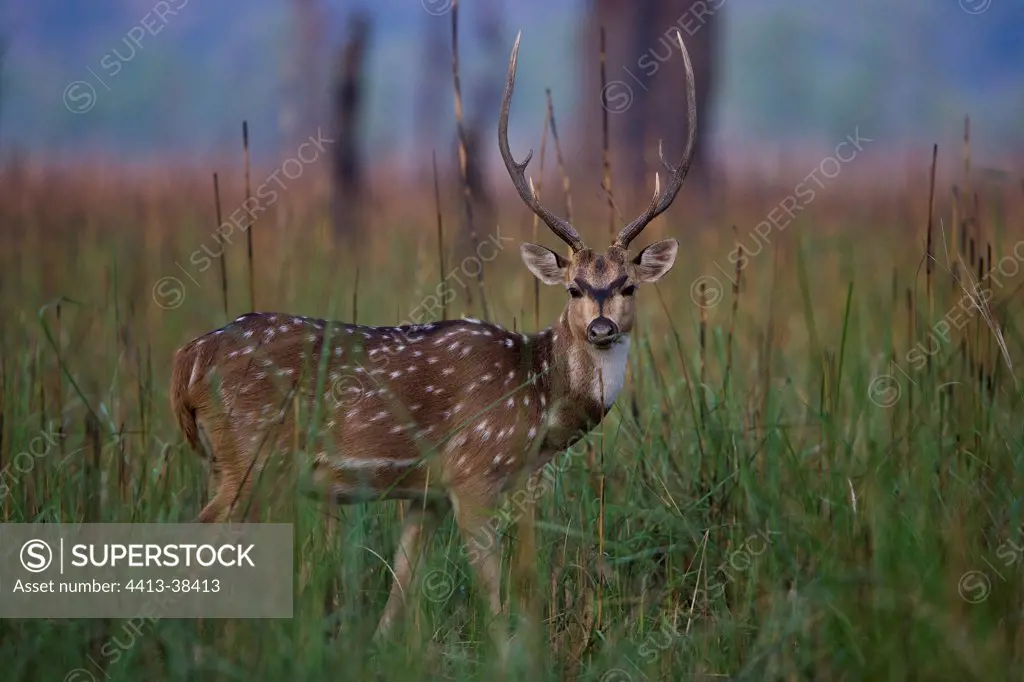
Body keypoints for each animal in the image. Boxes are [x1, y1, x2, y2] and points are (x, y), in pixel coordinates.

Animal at [172, 29, 696, 647]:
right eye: (572, 288)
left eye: (628, 285)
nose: (600, 326)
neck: (538, 406)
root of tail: (189, 357)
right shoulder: (472, 474)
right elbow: (493, 591)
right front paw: (509, 652)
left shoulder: (427, 495)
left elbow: (399, 588)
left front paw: (378, 647)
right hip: (249, 454)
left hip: (225, 460)